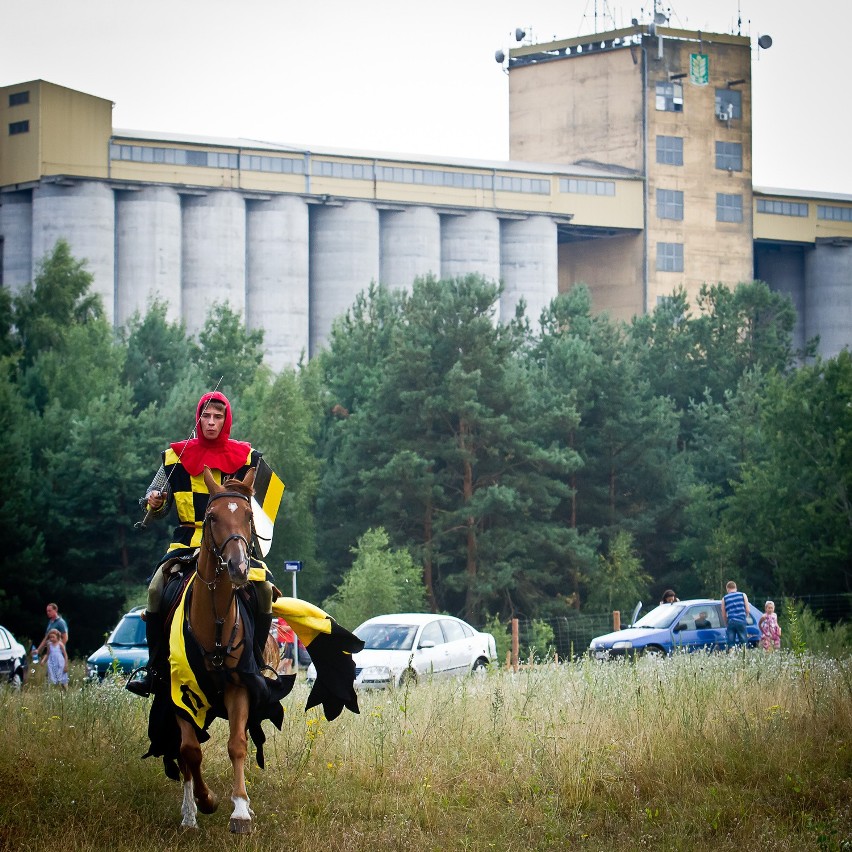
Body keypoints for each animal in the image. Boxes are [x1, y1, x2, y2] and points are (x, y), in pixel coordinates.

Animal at [174, 466, 276, 832]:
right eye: (211, 516)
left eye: (248, 515)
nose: (239, 568)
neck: (215, 622)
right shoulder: (178, 691)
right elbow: (190, 750)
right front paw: (203, 802)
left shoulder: (239, 685)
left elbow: (237, 744)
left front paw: (240, 810)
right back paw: (189, 811)